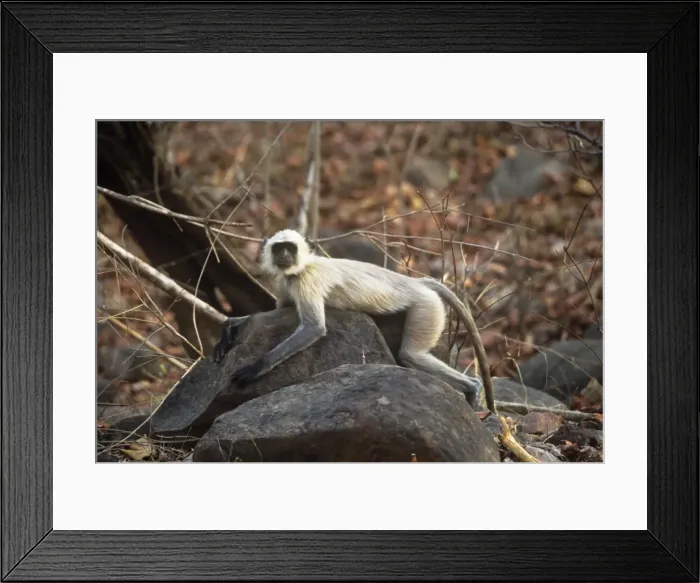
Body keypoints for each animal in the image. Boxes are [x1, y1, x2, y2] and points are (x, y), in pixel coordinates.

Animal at [211, 229, 495, 413]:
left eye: (290, 248)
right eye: (278, 248)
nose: (285, 256)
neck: (303, 265)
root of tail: (416, 281)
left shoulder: (306, 280)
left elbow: (314, 327)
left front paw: (255, 367)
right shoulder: (286, 281)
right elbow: (280, 308)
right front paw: (231, 326)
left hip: (427, 306)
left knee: (410, 355)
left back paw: (472, 388)